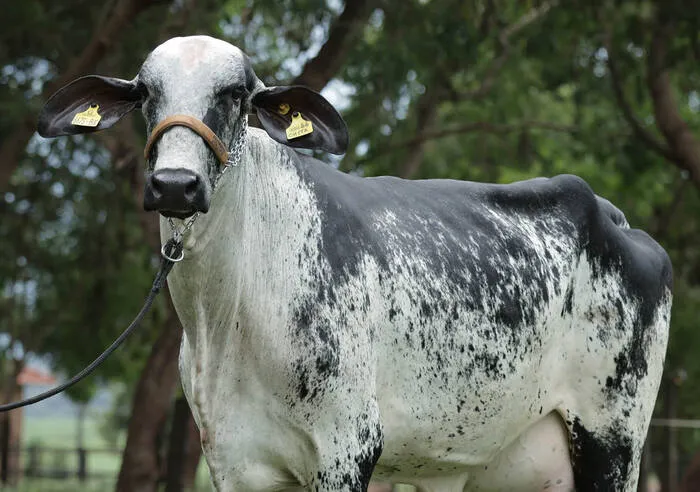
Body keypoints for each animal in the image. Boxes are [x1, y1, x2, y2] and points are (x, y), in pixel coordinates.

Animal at [37, 36, 672, 492]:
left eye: (236, 94)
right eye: (146, 93)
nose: (175, 184)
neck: (228, 315)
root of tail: (614, 216)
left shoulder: (347, 448)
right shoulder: (233, 461)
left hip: (613, 442)